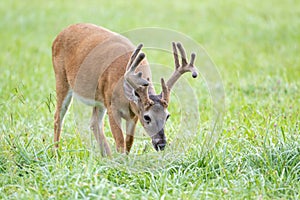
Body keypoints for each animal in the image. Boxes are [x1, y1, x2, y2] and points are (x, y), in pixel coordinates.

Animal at [52, 23, 197, 157]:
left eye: (167, 116)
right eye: (147, 117)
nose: (161, 144)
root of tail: (60, 34)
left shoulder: (133, 113)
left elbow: (128, 142)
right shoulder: (112, 108)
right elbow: (120, 142)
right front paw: (121, 162)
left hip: (99, 99)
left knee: (94, 123)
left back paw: (107, 157)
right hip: (61, 78)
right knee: (58, 116)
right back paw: (56, 153)